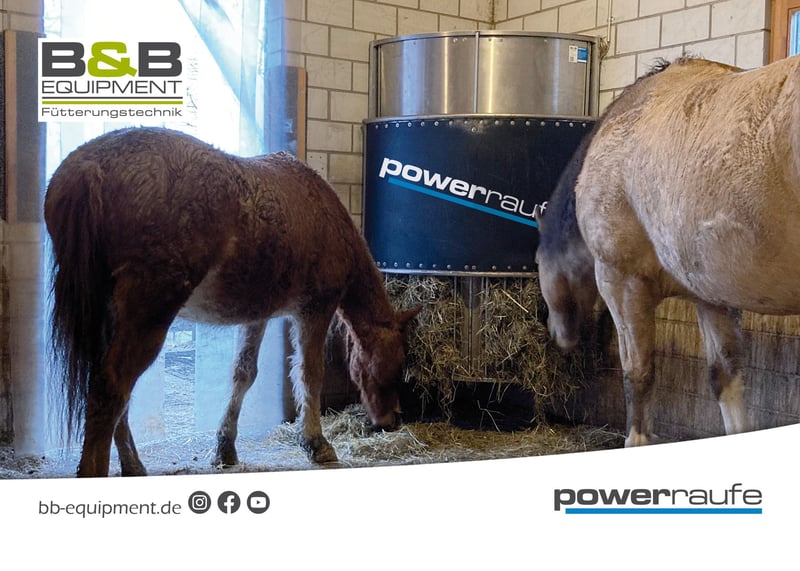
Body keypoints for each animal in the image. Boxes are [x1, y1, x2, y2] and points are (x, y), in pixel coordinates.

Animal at [44, 127, 420, 477]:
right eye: (393, 363)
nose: (390, 420)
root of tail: (91, 167)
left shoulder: (258, 315)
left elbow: (244, 373)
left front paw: (225, 448)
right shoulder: (314, 310)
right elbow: (310, 375)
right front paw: (316, 444)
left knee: (112, 388)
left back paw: (134, 464)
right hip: (148, 314)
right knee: (111, 387)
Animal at [536, 54, 800, 447]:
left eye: (537, 261)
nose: (557, 334)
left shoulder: (622, 282)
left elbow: (638, 374)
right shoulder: (711, 297)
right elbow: (726, 376)